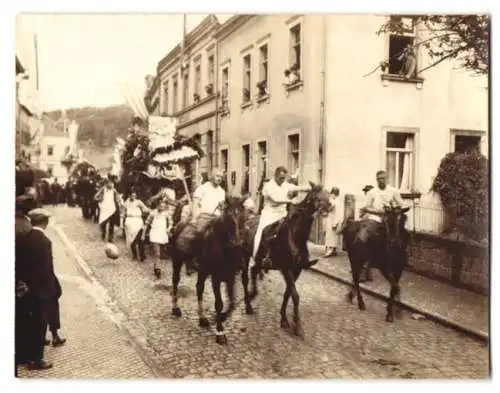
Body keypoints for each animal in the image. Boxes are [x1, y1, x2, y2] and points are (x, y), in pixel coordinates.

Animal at [171, 196, 247, 344]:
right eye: (229, 217)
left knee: (199, 288)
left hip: (203, 270)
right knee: (175, 282)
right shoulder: (216, 277)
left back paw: (202, 318)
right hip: (177, 261)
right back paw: (175, 309)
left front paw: (222, 317)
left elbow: (232, 302)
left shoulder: (230, 276)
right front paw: (220, 332)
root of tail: (180, 224)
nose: (237, 242)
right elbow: (219, 303)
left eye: (244, 217)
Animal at [241, 181, 332, 336]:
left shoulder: (297, 270)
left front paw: (284, 318)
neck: (296, 236)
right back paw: (248, 305)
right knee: (245, 278)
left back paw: (253, 293)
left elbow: (288, 293)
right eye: (316, 195)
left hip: (259, 260)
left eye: (328, 193)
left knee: (253, 270)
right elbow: (295, 295)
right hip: (246, 256)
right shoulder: (287, 269)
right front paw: (297, 324)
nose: (330, 206)